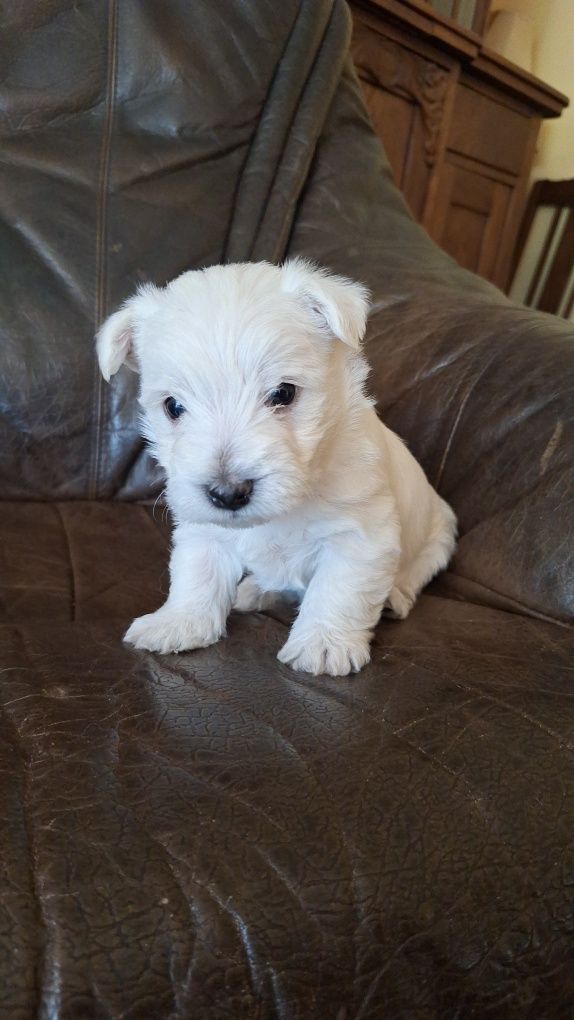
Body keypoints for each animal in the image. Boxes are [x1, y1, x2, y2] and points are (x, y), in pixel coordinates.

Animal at [98, 261, 458, 677]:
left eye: (283, 393)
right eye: (173, 406)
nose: (228, 493)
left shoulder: (361, 535)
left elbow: (339, 589)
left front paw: (323, 645)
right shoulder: (204, 531)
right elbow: (196, 574)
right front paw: (179, 622)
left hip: (438, 539)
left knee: (414, 574)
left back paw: (392, 597)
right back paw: (255, 589)